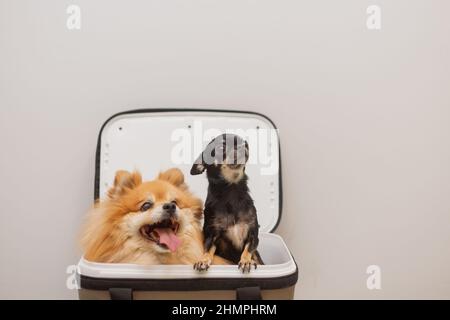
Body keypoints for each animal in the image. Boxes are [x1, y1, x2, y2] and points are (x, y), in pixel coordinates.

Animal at [191, 133, 264, 272]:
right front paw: (203, 260)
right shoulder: (211, 235)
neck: (232, 189)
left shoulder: (253, 235)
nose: (243, 146)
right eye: (221, 147)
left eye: (244, 143)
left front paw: (246, 261)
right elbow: (208, 249)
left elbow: (248, 249)